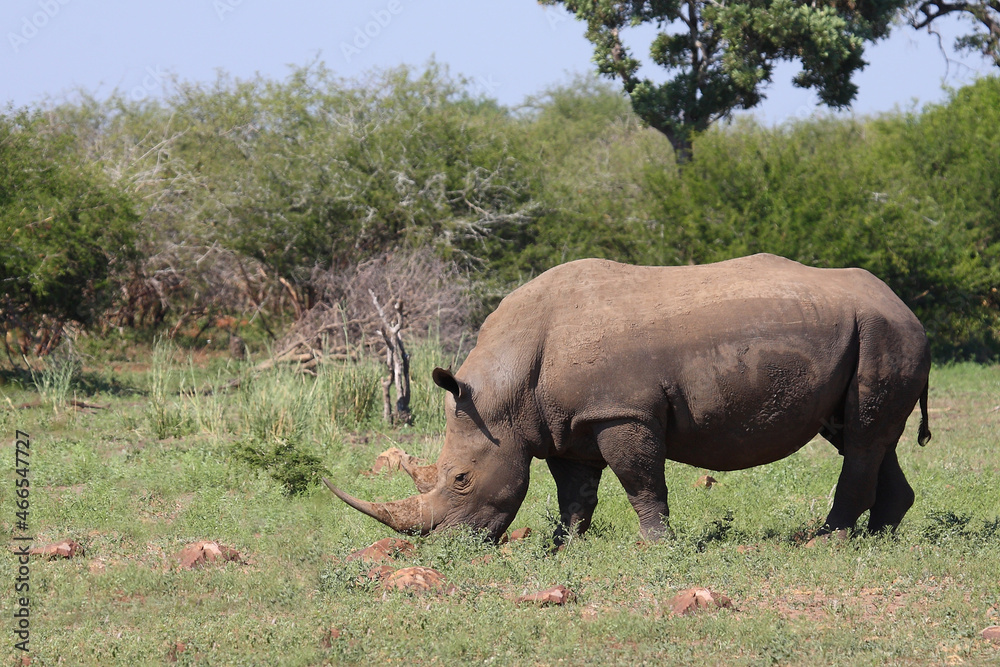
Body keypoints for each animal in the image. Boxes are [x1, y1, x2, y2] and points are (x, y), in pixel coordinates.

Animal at [326, 254, 931, 543]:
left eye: (460, 479)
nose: (448, 549)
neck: (506, 388)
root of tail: (905, 306)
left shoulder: (621, 413)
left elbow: (640, 481)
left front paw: (655, 546)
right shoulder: (563, 424)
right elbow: (575, 492)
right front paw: (565, 545)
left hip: (885, 333)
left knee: (862, 439)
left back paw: (825, 541)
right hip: (867, 333)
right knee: (862, 435)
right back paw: (879, 536)